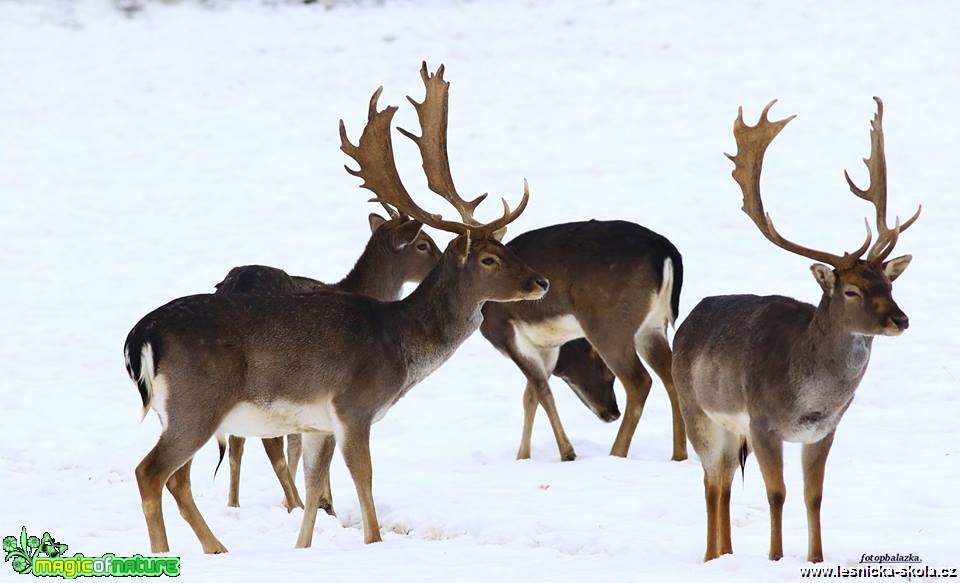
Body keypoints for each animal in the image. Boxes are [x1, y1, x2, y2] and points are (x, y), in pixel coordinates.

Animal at [122, 64, 548, 552]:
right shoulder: (353, 405)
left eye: (504, 247)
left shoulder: (316, 424)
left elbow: (312, 487)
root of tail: (142, 334)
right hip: (198, 401)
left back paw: (217, 548)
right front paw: (373, 541)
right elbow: (363, 478)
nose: (541, 282)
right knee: (150, 471)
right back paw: (167, 552)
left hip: (176, 411)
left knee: (178, 478)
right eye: (489, 258)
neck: (398, 343)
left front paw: (303, 545)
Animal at [484, 221, 688, 464]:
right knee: (671, 375)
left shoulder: (508, 331)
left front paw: (566, 453)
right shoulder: (546, 345)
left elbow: (541, 391)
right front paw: (523, 457)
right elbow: (531, 396)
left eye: (608, 376)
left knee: (640, 381)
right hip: (652, 326)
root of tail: (666, 252)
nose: (612, 413)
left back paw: (616, 453)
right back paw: (679, 455)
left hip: (608, 325)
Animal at [672, 98, 920, 564]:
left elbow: (813, 496)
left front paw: (816, 558)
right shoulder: (763, 422)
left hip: (729, 429)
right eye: (852, 291)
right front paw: (775, 557)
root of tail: (687, 322)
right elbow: (777, 494)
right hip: (696, 410)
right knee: (711, 481)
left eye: (890, 284)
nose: (901, 319)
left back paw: (726, 555)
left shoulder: (824, 431)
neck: (810, 396)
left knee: (724, 482)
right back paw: (713, 557)